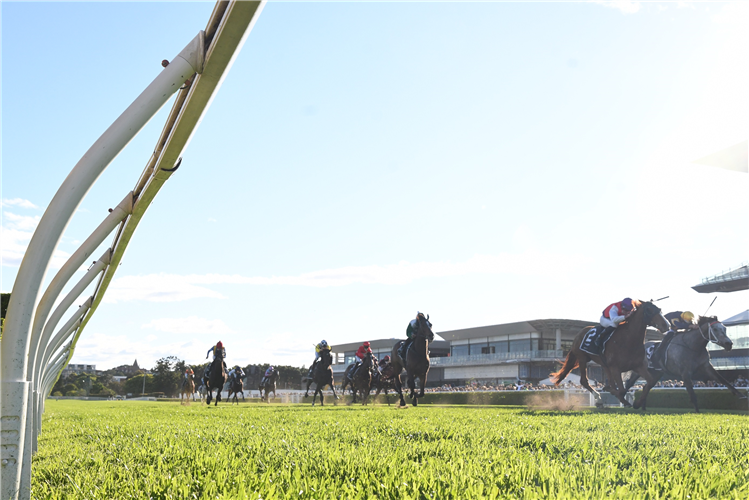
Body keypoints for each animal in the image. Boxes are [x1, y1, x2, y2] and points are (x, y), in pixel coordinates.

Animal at [620, 318, 748, 412]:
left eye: (724, 328)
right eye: (715, 329)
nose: (729, 344)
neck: (693, 346)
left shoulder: (706, 367)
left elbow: (723, 380)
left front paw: (741, 395)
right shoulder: (685, 372)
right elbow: (691, 392)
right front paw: (697, 411)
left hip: (656, 373)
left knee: (646, 386)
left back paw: (641, 406)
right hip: (638, 372)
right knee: (629, 383)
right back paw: (626, 402)